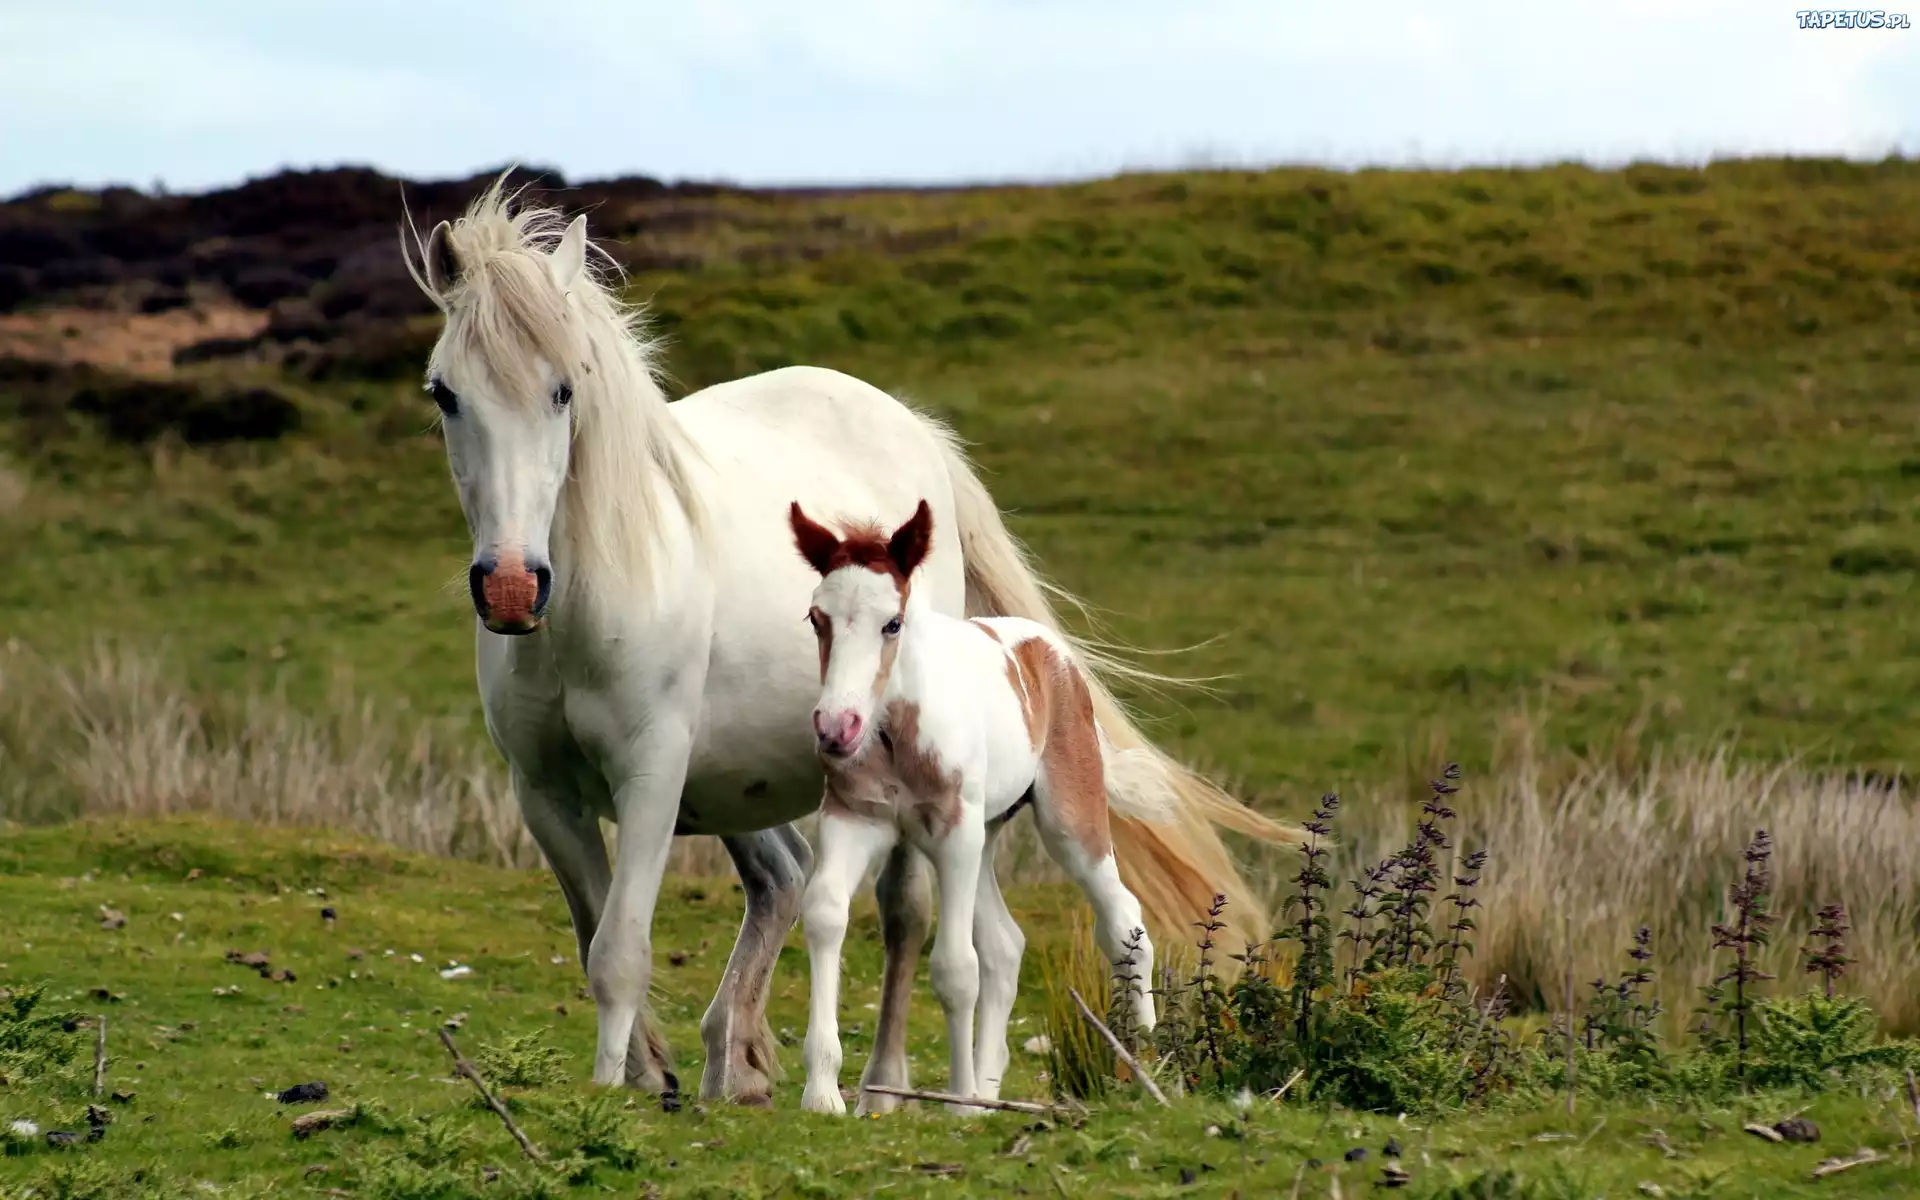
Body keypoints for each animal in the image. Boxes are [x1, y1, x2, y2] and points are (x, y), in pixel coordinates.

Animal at [783, 499, 1152, 1113]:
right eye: (817, 619)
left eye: (892, 622)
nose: (836, 728)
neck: (896, 734)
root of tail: (1048, 649)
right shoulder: (853, 819)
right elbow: (826, 912)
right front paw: (823, 1093)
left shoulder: (953, 834)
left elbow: (956, 968)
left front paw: (957, 1105)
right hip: (986, 835)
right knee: (1005, 946)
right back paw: (989, 1089)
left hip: (1065, 820)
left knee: (1123, 918)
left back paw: (1149, 1058)